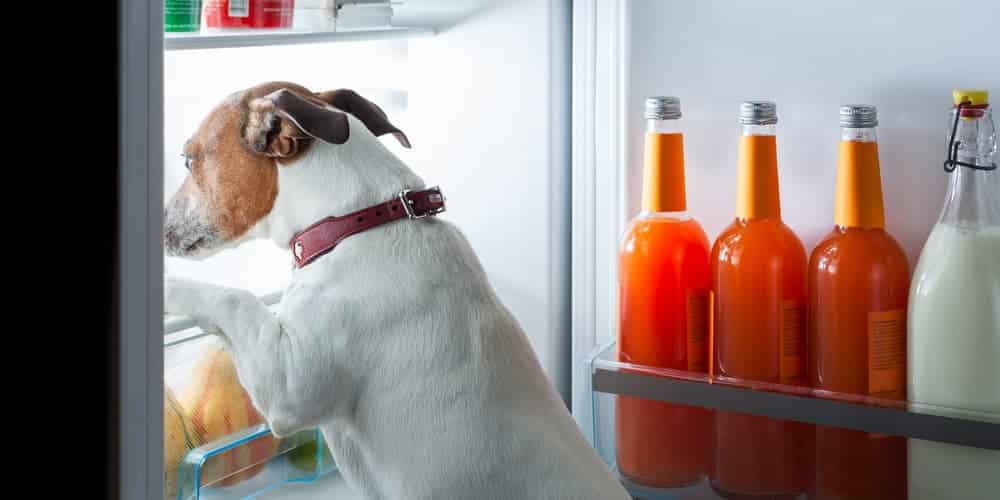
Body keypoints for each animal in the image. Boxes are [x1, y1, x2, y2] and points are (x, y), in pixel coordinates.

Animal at [164, 83, 632, 500]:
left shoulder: (288, 385)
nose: (162, 221)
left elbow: (233, 299)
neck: (357, 222)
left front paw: (168, 286)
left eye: (188, 160)